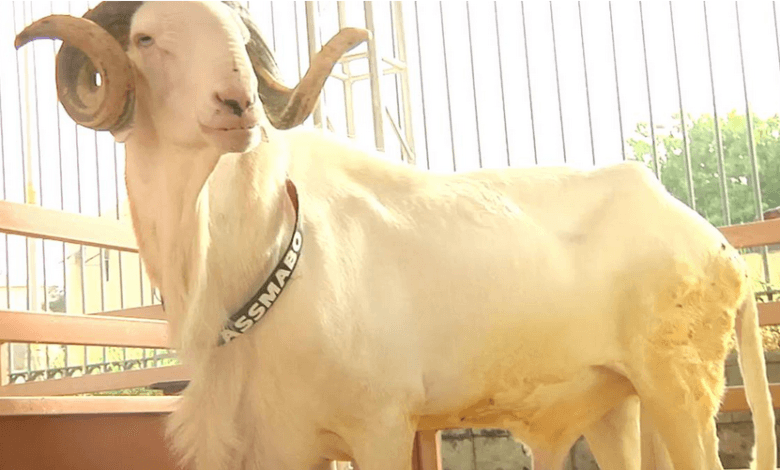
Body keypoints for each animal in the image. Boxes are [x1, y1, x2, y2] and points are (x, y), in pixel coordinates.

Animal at [16, 2, 776, 470]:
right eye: (147, 38)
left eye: (237, 37)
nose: (239, 104)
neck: (259, 256)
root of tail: (720, 250)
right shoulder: (284, 444)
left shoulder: (380, 426)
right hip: (618, 403)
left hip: (683, 388)